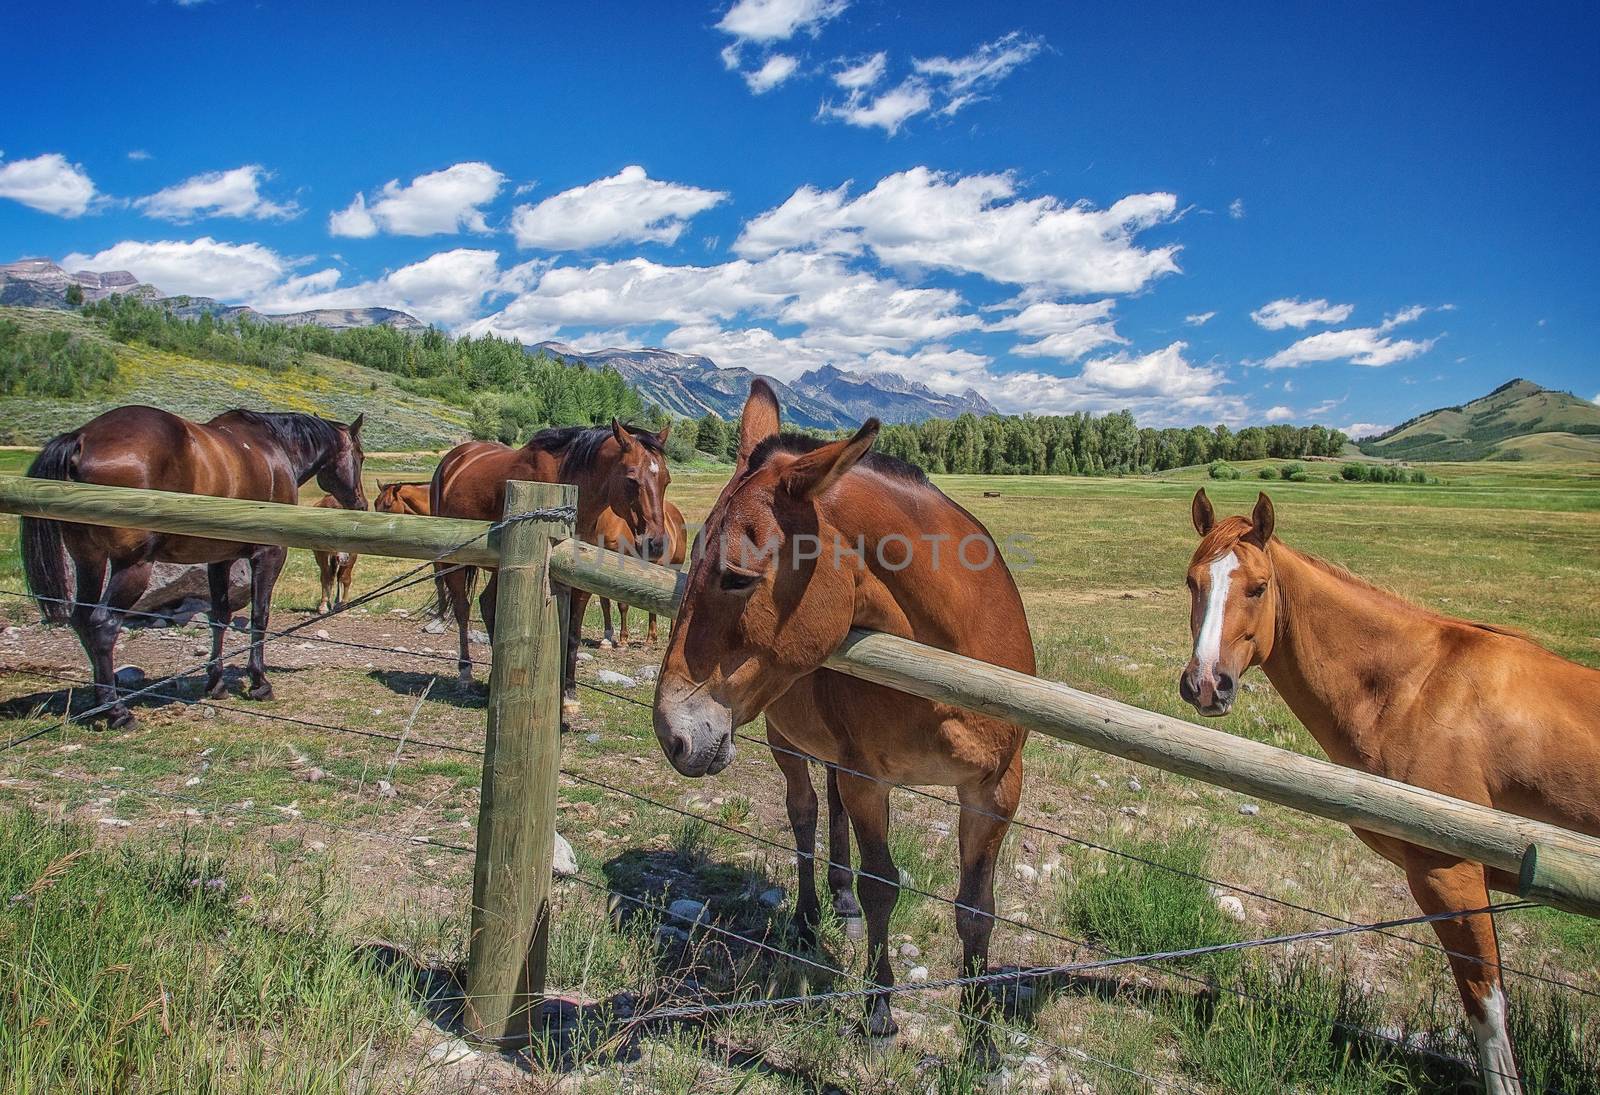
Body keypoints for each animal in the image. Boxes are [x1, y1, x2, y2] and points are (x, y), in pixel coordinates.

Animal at [21, 403, 366, 726]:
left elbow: (220, 617)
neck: (273, 448)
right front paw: (259, 682)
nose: (360, 504)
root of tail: (83, 438)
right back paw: (117, 711)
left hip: (89, 560)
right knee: (103, 625)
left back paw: (99, 705)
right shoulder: (269, 553)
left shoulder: (220, 558)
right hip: (132, 565)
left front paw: (216, 684)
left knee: (82, 620)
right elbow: (260, 616)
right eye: (360, 456)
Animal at [428, 419, 672, 710]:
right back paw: (465, 673)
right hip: (454, 560)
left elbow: (572, 635)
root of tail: (453, 459)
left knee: (486, 604)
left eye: (666, 480)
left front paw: (568, 693)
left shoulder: (580, 581)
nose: (655, 543)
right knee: (463, 609)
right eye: (632, 479)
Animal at [595, 499, 681, 646]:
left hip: (674, 568)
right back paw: (651, 638)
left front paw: (623, 638)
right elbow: (605, 602)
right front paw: (607, 639)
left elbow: (623, 605)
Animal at [652, 382, 1036, 1062]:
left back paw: (839, 902)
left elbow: (978, 908)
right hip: (786, 741)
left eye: (736, 575)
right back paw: (808, 918)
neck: (947, 667)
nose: (672, 732)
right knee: (805, 815)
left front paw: (980, 1036)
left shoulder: (995, 789)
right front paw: (880, 1012)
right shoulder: (868, 778)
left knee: (828, 811)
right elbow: (883, 884)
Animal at [1177, 489, 1600, 1095]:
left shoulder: (1452, 876)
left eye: (1257, 587)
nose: (1205, 685)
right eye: (1192, 582)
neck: (1413, 687)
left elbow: (1488, 1012)